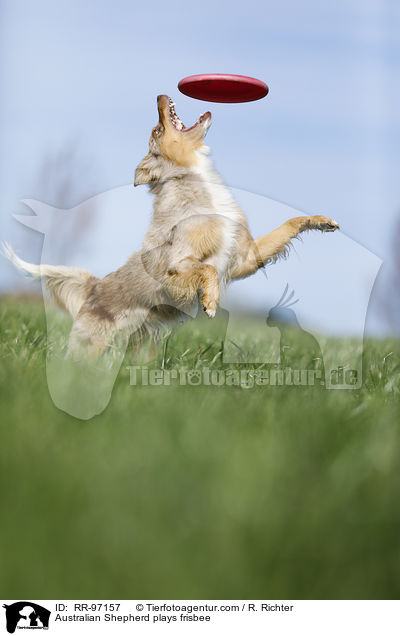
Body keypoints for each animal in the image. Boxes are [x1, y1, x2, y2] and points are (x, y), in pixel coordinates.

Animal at [4, 94, 340, 358]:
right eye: (157, 129)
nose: (159, 95)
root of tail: (94, 287)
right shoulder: (176, 268)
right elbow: (208, 269)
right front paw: (210, 302)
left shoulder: (245, 259)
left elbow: (290, 223)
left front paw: (321, 221)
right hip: (93, 345)